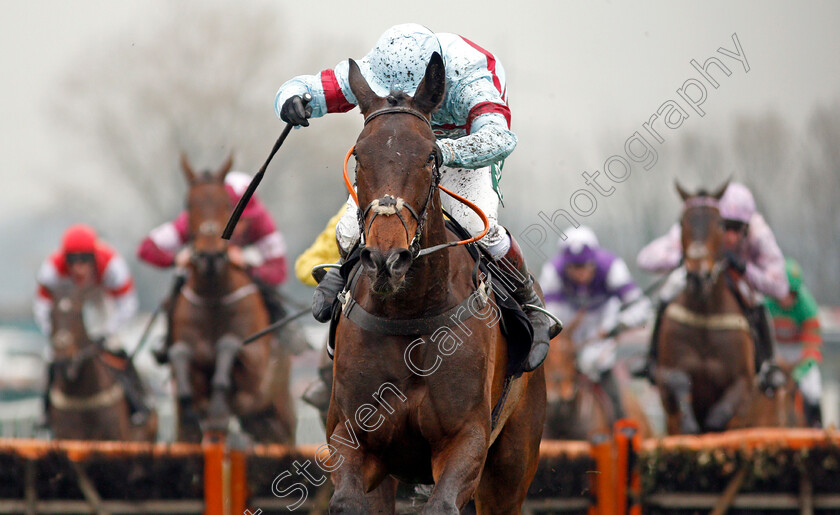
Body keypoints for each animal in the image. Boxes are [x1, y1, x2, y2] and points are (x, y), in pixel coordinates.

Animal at [167, 156, 296, 444]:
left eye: (225, 202)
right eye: (188, 204)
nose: (210, 256)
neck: (213, 298)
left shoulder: (255, 372)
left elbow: (230, 344)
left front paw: (217, 408)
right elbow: (179, 353)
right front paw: (193, 408)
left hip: (278, 415)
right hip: (259, 422)